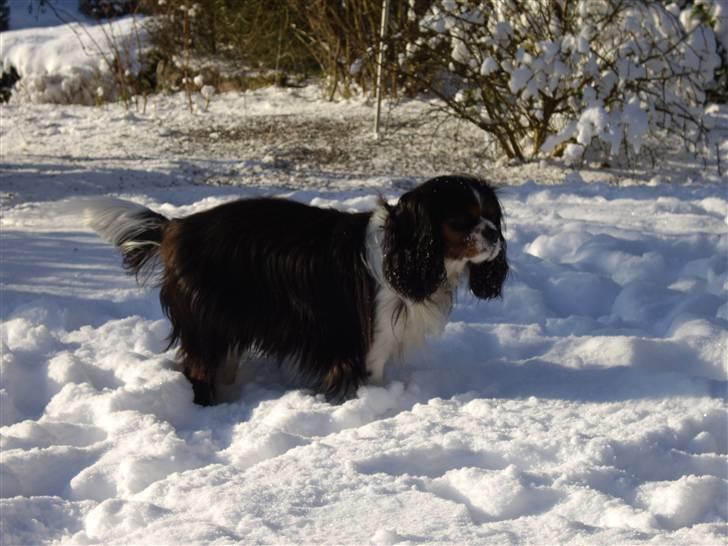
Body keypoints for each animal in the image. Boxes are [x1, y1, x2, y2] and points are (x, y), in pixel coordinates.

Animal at [78, 175, 506, 404]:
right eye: (462, 221)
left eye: (490, 216)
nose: (494, 235)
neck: (404, 249)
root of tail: (176, 226)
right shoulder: (366, 340)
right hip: (209, 323)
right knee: (200, 369)